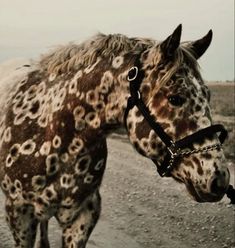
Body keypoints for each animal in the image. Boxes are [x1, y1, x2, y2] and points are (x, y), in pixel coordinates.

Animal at [0, 24, 233, 246]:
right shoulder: (19, 214)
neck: (54, 132)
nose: (219, 180)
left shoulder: (82, 216)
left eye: (207, 95)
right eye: (175, 98)